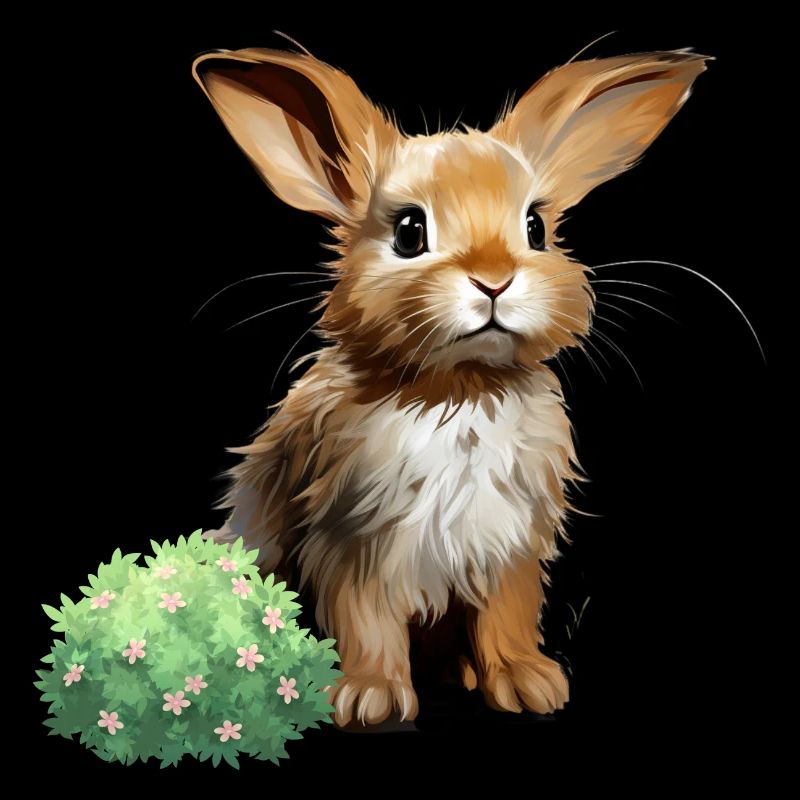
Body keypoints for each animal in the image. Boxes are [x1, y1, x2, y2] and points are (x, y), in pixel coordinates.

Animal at [193, 46, 707, 725]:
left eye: (536, 228)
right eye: (410, 231)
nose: (494, 280)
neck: (461, 390)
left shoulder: (509, 546)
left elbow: (507, 615)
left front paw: (527, 683)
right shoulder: (354, 542)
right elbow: (365, 619)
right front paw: (370, 698)